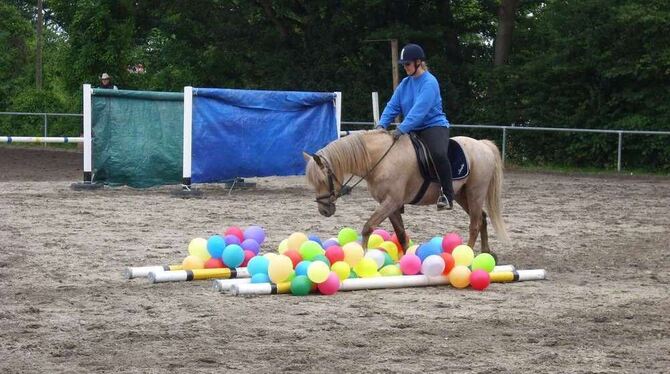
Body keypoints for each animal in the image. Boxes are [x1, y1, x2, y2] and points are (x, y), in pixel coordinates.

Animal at [304, 129, 510, 258]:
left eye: (322, 180)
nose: (324, 210)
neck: (381, 159)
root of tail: (482, 145)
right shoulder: (391, 206)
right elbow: (401, 234)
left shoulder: (391, 202)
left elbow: (367, 227)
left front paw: (361, 256)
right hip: (461, 195)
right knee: (482, 218)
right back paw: (486, 251)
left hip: (476, 193)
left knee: (474, 224)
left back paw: (467, 254)